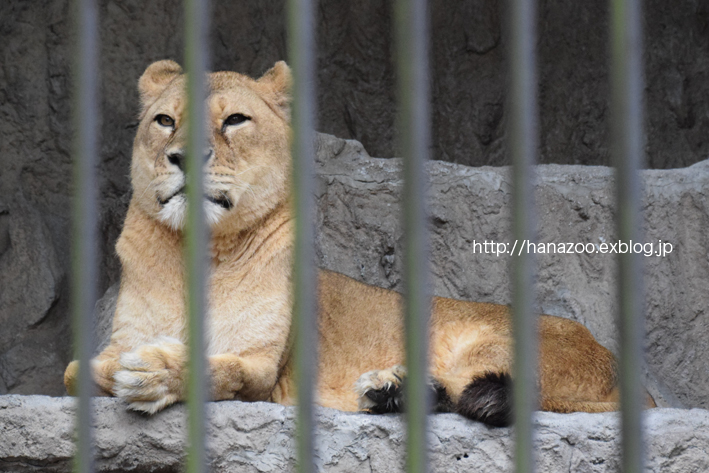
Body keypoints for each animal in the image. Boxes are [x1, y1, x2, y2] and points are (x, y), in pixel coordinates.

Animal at [63, 59, 644, 424]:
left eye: (235, 120)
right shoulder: (107, 347)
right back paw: (390, 392)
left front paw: (155, 373)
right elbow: (79, 371)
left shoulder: (264, 372)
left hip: (493, 343)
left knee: (481, 392)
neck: (202, 253)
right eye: (165, 121)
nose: (183, 156)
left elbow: (218, 370)